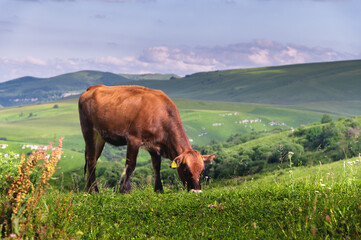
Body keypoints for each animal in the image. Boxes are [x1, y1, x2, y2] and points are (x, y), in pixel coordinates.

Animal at [77, 85, 215, 193]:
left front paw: (159, 190)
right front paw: (124, 191)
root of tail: (93, 88)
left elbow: (156, 167)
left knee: (93, 160)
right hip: (88, 131)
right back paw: (93, 190)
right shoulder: (133, 139)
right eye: (186, 170)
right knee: (91, 160)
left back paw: (88, 189)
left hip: (100, 137)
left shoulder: (155, 146)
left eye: (202, 171)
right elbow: (130, 165)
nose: (197, 191)